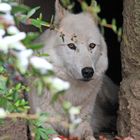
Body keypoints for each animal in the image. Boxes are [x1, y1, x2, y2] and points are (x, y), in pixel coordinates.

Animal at [28, 0, 118, 139]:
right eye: (71, 46)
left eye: (92, 45)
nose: (88, 71)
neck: (70, 94)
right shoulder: (39, 124)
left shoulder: (82, 124)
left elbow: (89, 134)